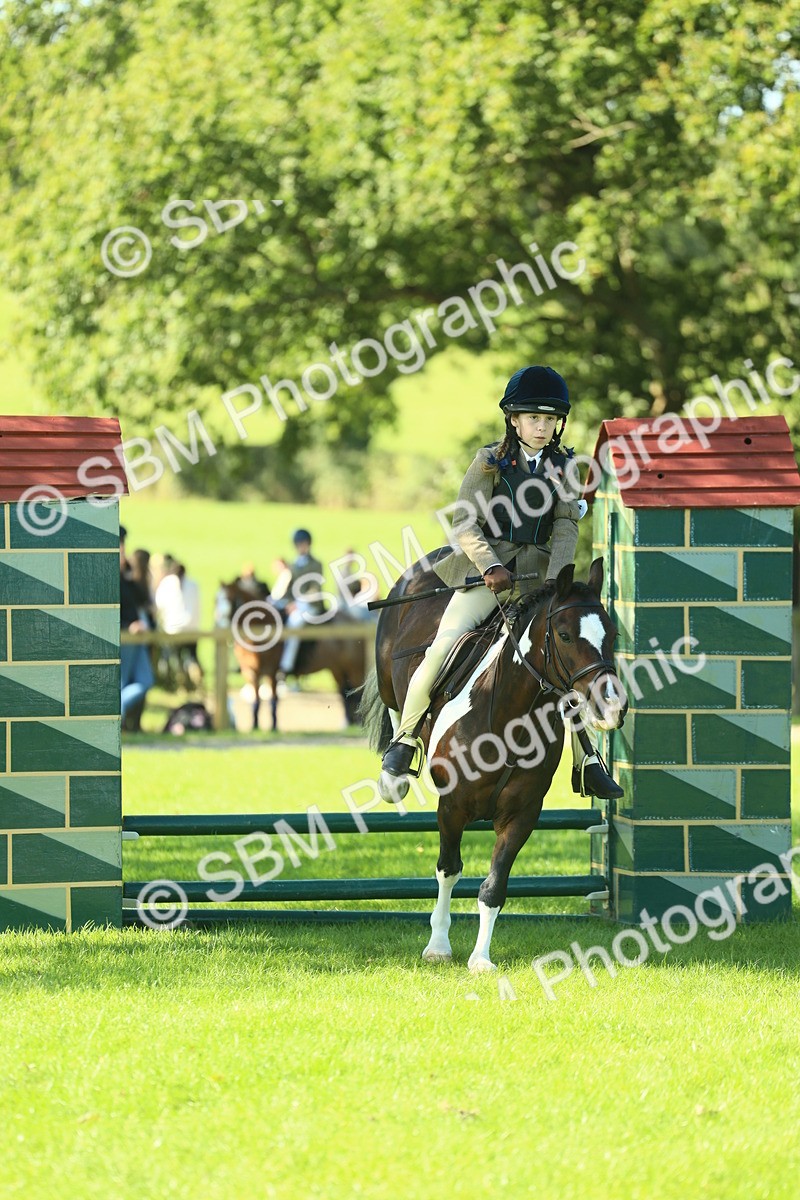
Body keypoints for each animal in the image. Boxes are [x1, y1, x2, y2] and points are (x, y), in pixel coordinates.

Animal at [222, 579, 367, 731]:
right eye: (217, 600)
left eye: (234, 601)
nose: (223, 629)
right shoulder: (249, 671)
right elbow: (256, 699)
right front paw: (255, 725)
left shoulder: (271, 671)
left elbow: (273, 698)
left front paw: (274, 726)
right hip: (337, 669)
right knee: (344, 692)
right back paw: (347, 723)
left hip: (354, 669)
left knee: (357, 694)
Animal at [358, 556, 628, 973]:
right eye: (565, 635)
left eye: (612, 634)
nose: (612, 707)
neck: (508, 719)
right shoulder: (451, 807)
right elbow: (448, 869)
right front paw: (438, 946)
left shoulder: (522, 814)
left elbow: (494, 887)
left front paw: (481, 958)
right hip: (391, 675)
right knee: (398, 706)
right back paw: (396, 772)